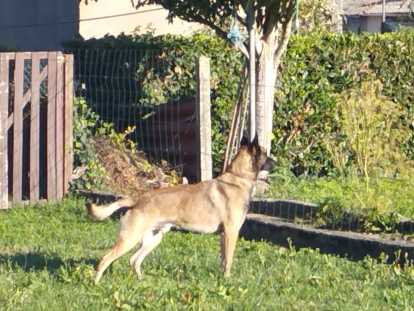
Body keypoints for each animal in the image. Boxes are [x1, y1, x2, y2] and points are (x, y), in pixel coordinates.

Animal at [87, 135, 274, 284]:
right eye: (265, 154)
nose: (276, 162)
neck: (237, 178)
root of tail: (138, 199)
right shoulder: (231, 232)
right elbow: (228, 260)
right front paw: (227, 280)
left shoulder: (224, 235)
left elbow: (223, 260)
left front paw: (222, 278)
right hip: (130, 239)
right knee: (105, 259)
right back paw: (96, 283)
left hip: (153, 239)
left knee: (134, 260)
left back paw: (141, 280)